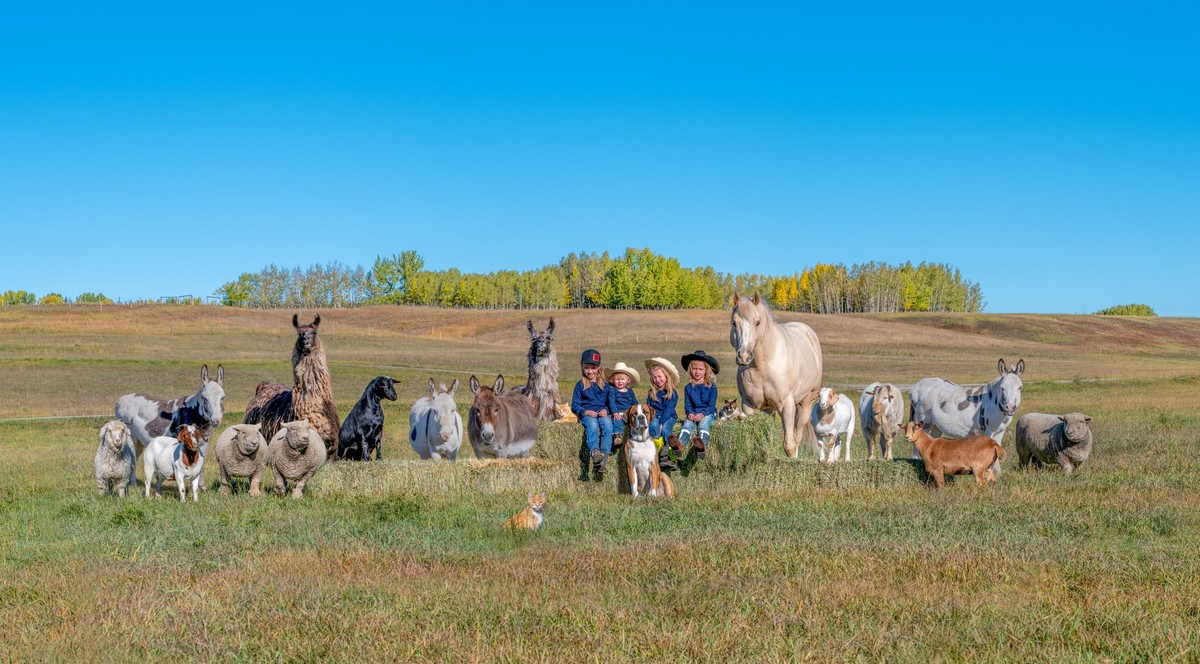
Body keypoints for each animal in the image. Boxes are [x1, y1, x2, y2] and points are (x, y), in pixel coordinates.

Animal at [729, 292, 825, 458]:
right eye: (734, 323)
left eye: (757, 322)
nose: (744, 356)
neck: (762, 367)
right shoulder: (749, 405)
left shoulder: (786, 406)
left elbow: (790, 446)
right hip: (769, 409)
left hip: (805, 404)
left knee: (797, 438)